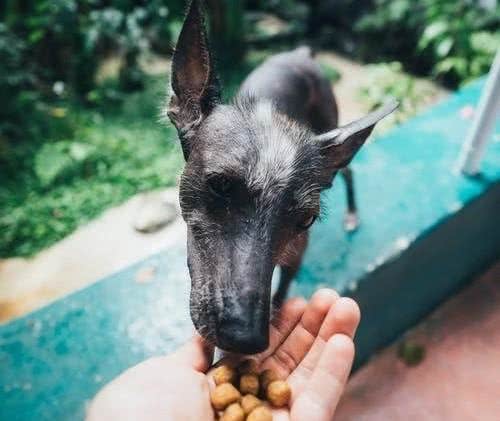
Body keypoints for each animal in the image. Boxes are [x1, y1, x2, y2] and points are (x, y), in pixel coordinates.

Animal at [168, 0, 398, 352]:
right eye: (220, 185)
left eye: (306, 219)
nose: (247, 338)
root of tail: (301, 53)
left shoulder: (296, 256)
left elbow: (281, 292)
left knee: (348, 172)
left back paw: (352, 213)